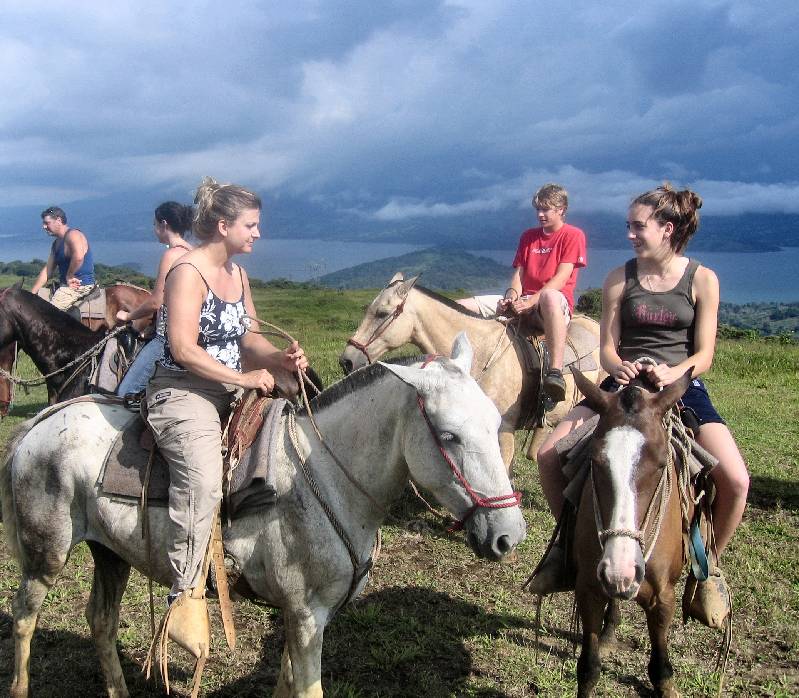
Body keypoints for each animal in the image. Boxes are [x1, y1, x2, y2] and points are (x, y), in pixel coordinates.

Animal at [3, 334, 528, 692]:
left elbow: (287, 684)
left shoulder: (304, 617)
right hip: (46, 555)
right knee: (24, 619)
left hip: (109, 553)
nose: (509, 535)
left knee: (101, 620)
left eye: (495, 423)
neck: (326, 475)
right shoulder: (307, 615)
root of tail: (43, 422)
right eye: (449, 435)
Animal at [568, 370, 692, 696]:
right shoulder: (588, 588)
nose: (620, 571)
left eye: (662, 463)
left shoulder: (664, 598)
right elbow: (588, 669)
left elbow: (660, 670)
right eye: (595, 461)